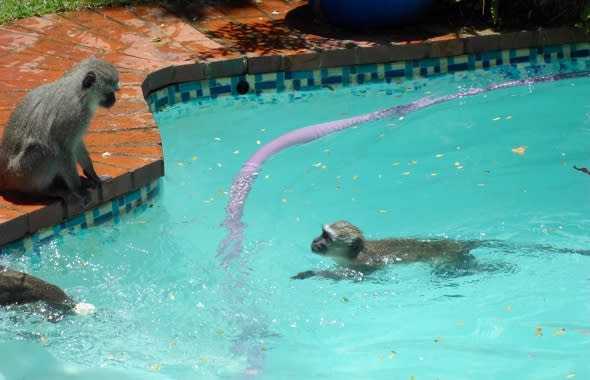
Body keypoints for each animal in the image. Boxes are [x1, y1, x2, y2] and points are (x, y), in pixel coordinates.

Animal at [0, 56, 120, 203]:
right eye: (110, 92)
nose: (114, 100)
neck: (80, 94)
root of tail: (5, 177)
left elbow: (76, 144)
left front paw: (93, 176)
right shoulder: (72, 113)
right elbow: (63, 148)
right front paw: (78, 189)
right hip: (21, 173)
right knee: (51, 150)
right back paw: (44, 191)